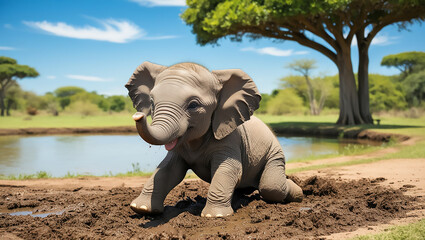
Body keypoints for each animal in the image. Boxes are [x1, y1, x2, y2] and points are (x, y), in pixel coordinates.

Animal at [124, 61, 304, 218]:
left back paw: (299, 195)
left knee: (271, 188)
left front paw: (214, 216)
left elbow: (228, 169)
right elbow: (168, 169)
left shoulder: (230, 138)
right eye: (152, 103)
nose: (138, 116)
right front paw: (141, 209)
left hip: (275, 154)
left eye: (193, 105)